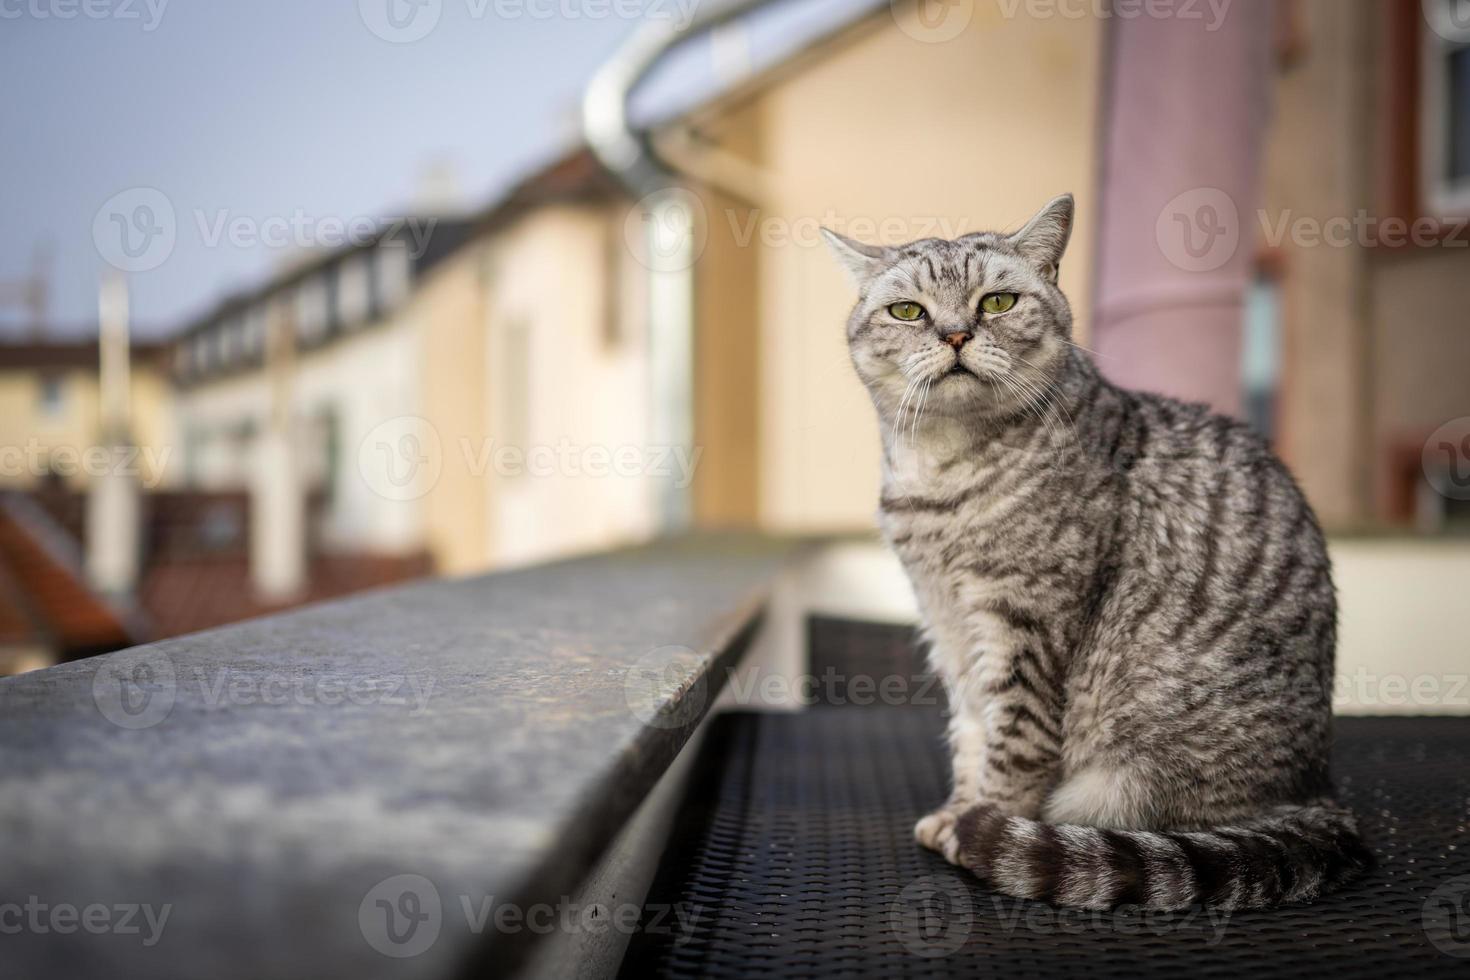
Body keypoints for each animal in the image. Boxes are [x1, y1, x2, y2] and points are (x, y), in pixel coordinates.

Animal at [823, 195, 1370, 916]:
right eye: (908, 311)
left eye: (998, 302)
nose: (955, 335)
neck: (940, 473)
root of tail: (1318, 794)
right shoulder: (949, 625)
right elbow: (971, 734)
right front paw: (958, 810)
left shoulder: (1025, 626)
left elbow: (1011, 749)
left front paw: (979, 825)